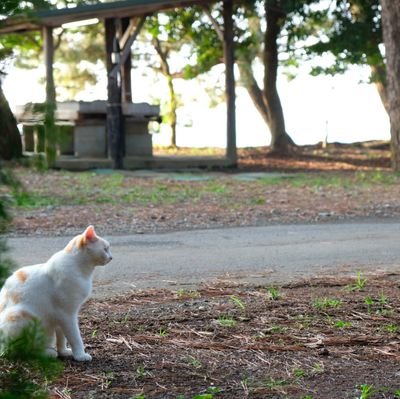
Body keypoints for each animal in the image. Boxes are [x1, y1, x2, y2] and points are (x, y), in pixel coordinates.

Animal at [0, 227, 111, 360]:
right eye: (105, 249)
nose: (111, 257)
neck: (79, 267)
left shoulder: (60, 317)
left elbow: (62, 338)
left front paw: (64, 352)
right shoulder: (67, 315)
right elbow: (75, 338)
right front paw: (80, 355)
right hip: (20, 316)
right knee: (18, 350)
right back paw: (47, 353)